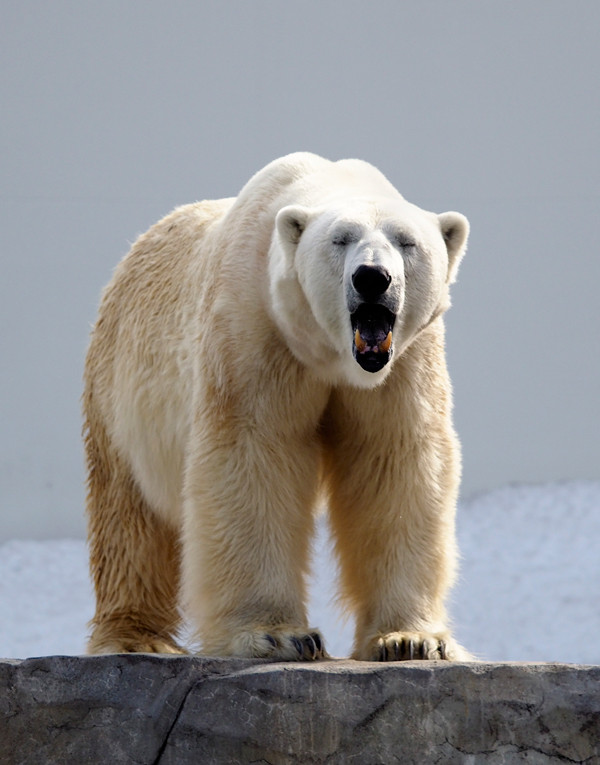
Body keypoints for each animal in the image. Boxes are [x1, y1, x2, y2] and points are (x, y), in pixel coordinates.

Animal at [84, 152, 472, 660]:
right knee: (128, 516)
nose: (372, 277)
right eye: (340, 239)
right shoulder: (253, 330)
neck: (330, 356)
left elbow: (394, 461)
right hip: (120, 390)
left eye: (407, 242)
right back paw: (135, 637)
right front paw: (277, 636)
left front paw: (409, 639)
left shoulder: (406, 364)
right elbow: (252, 454)